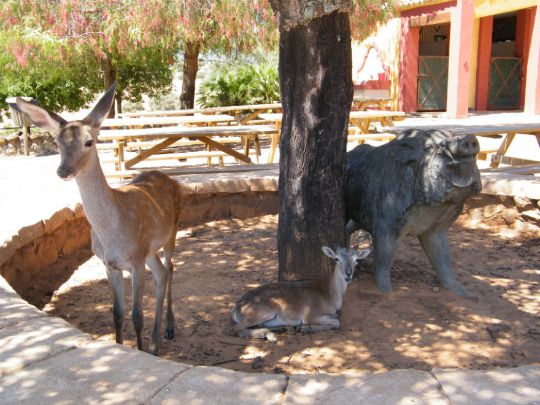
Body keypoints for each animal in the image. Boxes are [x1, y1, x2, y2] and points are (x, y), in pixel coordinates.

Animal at [16, 84, 181, 354]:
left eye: (88, 141)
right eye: (57, 142)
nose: (63, 171)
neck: (112, 232)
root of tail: (170, 179)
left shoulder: (135, 261)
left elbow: (137, 315)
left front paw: (140, 349)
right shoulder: (110, 263)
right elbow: (117, 314)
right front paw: (124, 345)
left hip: (172, 232)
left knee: (170, 268)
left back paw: (168, 329)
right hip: (149, 250)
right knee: (161, 274)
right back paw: (155, 340)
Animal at [230, 245, 370, 340]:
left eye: (356, 260)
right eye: (336, 259)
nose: (348, 274)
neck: (330, 295)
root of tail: (236, 309)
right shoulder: (310, 314)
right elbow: (336, 322)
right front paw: (305, 328)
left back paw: (284, 329)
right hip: (263, 311)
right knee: (235, 329)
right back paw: (269, 335)